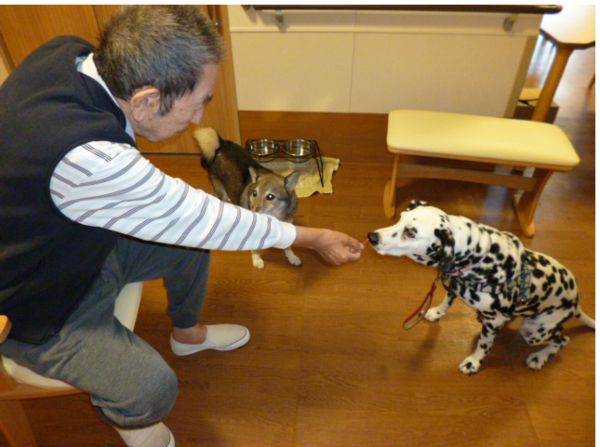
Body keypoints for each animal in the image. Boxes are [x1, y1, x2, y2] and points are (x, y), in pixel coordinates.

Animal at [368, 201, 592, 376]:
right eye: (400, 218)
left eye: (410, 233)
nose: (372, 237)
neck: (480, 256)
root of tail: (576, 303)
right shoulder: (454, 286)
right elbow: (446, 302)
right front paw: (436, 312)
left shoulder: (493, 320)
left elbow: (484, 345)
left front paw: (474, 363)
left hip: (534, 331)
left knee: (563, 340)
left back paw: (539, 357)